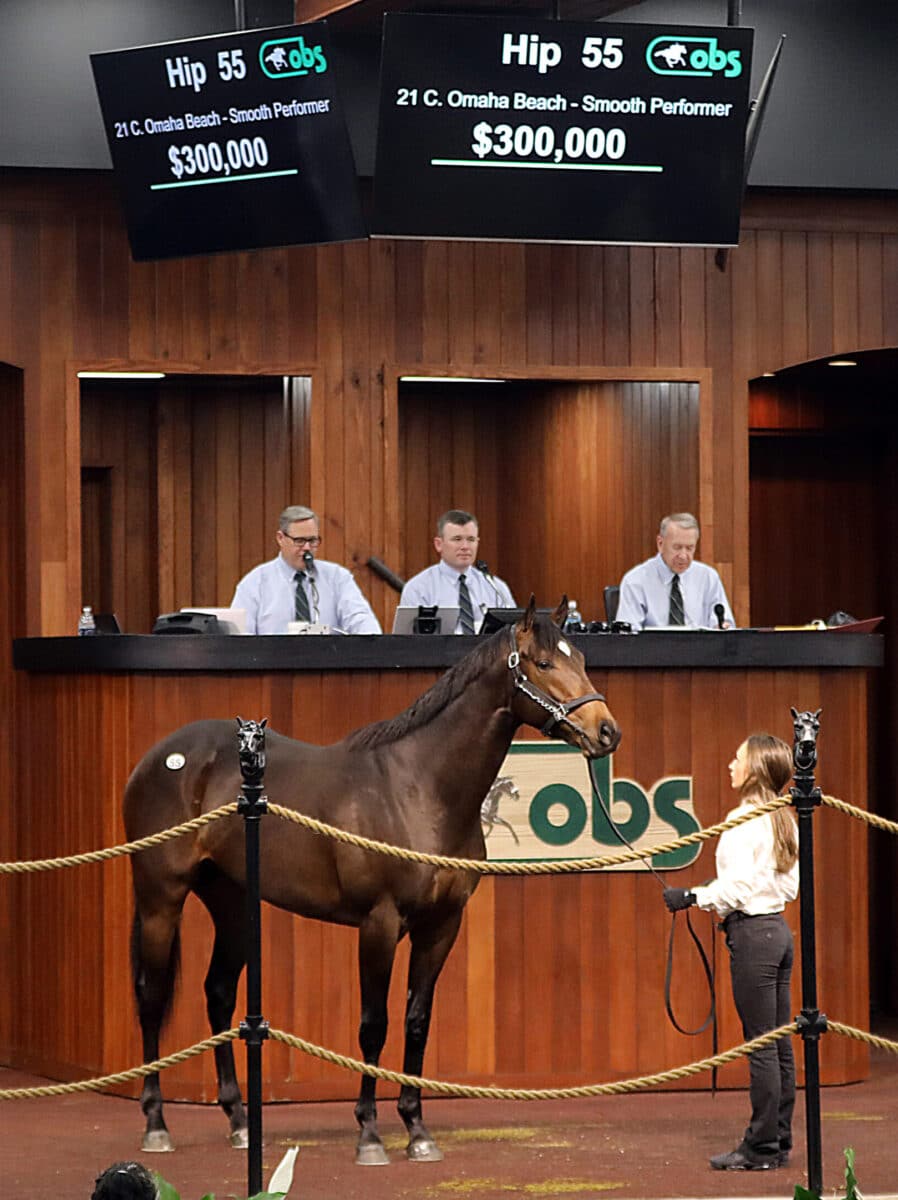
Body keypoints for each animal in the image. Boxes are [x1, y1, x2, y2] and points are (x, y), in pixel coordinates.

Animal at [123, 600, 619, 1161]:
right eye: (542, 663)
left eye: (581, 657)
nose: (607, 731)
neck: (418, 789)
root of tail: (162, 756)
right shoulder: (379, 924)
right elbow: (373, 1025)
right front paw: (370, 1133)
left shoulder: (441, 926)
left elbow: (417, 1021)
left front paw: (417, 1129)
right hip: (161, 898)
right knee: (151, 995)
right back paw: (156, 1123)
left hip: (231, 901)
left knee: (219, 993)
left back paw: (240, 1123)